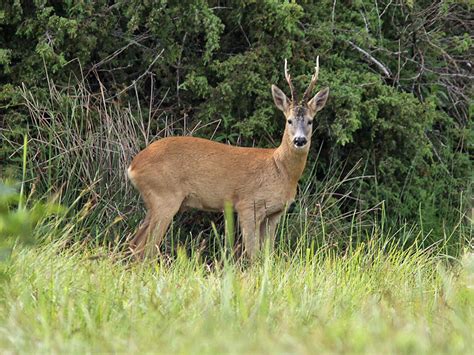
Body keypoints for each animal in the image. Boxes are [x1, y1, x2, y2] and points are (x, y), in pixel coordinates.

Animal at [127, 57, 330, 258]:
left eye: (310, 121)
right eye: (289, 120)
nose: (300, 140)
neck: (280, 169)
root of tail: (133, 166)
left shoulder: (274, 213)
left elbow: (268, 255)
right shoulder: (247, 204)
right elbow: (253, 254)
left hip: (154, 201)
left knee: (135, 242)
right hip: (164, 196)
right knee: (145, 247)